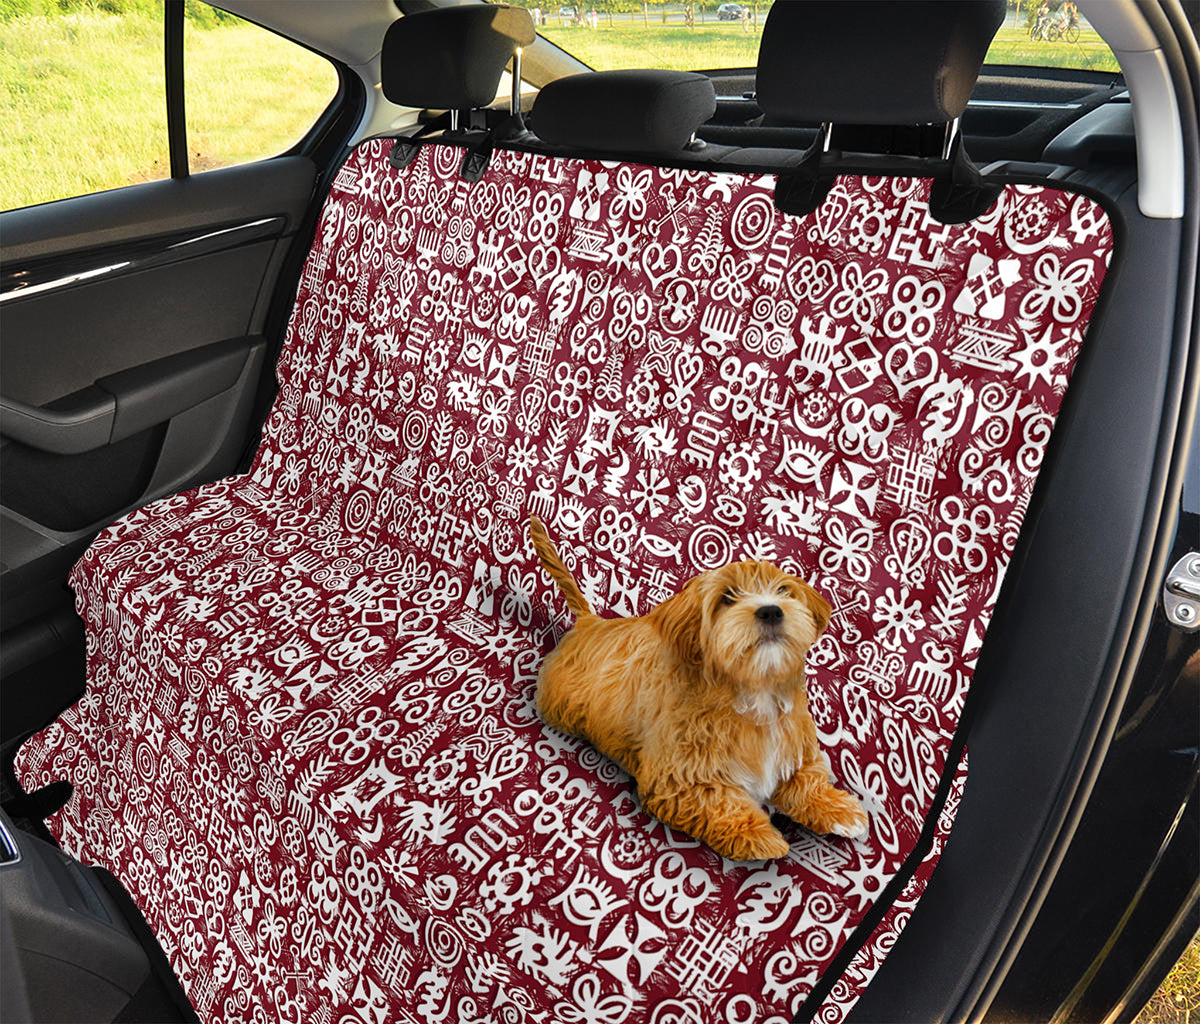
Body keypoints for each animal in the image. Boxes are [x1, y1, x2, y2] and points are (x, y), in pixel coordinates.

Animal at [530, 516, 868, 859]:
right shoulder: (678, 778)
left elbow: (807, 778)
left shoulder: (792, 747)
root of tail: (590, 624)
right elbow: (718, 801)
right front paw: (758, 835)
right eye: (727, 598)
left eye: (784, 590)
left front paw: (838, 808)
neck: (753, 694)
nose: (772, 610)